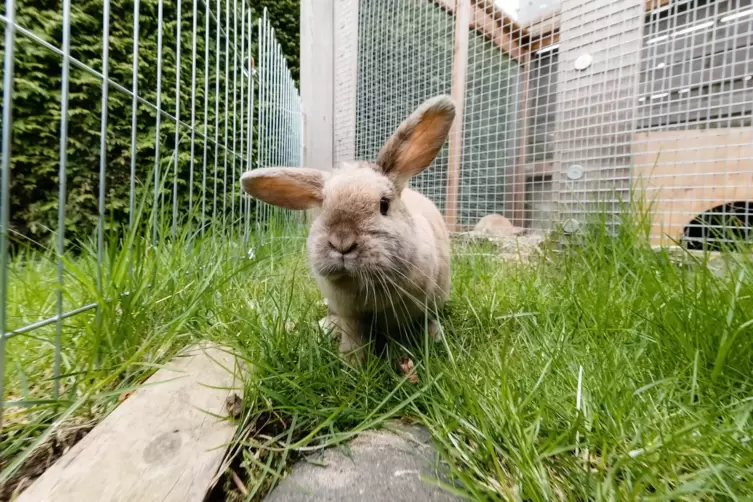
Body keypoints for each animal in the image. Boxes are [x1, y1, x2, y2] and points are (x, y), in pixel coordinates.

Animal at [241, 95, 455, 360]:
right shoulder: (351, 316)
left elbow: (408, 331)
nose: (342, 243)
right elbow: (355, 340)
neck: (363, 287)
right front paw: (352, 363)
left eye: (384, 204)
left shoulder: (410, 311)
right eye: (323, 208)